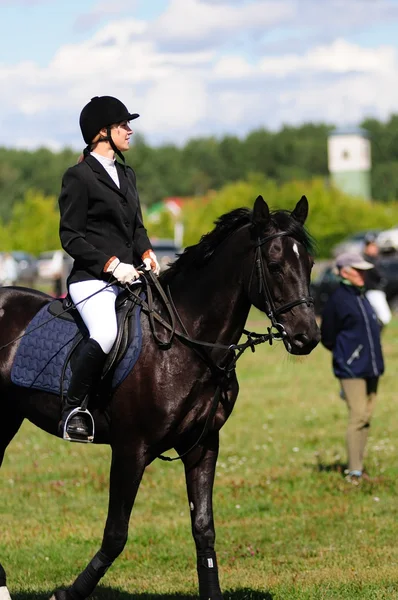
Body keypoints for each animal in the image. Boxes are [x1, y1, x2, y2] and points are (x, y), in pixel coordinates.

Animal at [0, 197, 320, 600]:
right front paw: (69, 593)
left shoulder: (203, 444)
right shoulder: (130, 449)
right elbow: (115, 534)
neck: (187, 342)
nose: (308, 337)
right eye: (275, 265)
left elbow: (204, 528)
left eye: (309, 264)